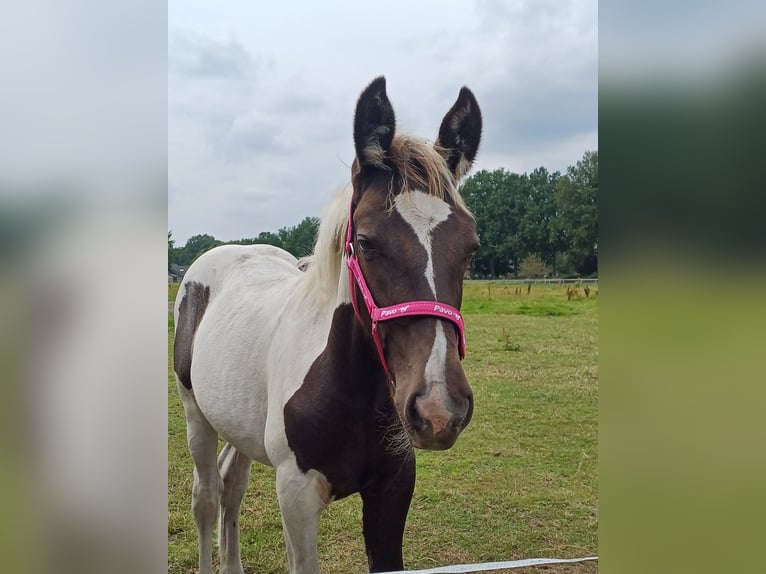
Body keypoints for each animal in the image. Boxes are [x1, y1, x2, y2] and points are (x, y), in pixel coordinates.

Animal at [176, 77, 484, 574]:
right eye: (367, 241)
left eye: (472, 245)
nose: (439, 411)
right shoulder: (296, 496)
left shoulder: (392, 489)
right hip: (195, 414)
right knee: (205, 497)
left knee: (231, 486)